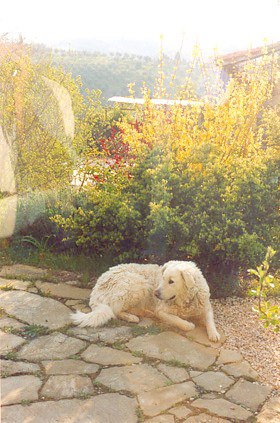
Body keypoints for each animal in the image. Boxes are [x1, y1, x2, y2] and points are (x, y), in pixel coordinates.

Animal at [71, 260, 220, 342]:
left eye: (171, 281)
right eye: (162, 278)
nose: (156, 293)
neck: (187, 299)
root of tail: (96, 287)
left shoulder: (206, 307)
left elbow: (209, 319)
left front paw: (214, 334)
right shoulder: (161, 311)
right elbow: (177, 320)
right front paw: (188, 324)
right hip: (138, 284)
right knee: (115, 311)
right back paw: (131, 317)